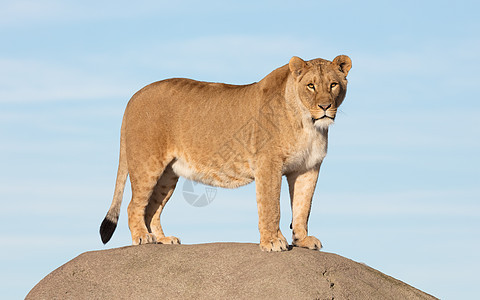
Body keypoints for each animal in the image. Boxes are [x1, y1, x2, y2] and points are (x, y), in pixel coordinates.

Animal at [99, 55, 350, 252]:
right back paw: (142, 237)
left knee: (152, 208)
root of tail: (133, 97)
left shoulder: (308, 168)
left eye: (333, 85)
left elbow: (302, 206)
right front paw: (272, 241)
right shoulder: (268, 164)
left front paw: (302, 240)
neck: (309, 124)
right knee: (134, 206)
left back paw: (162, 239)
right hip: (147, 164)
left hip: (168, 175)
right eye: (311, 86)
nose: (325, 107)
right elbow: (271, 206)